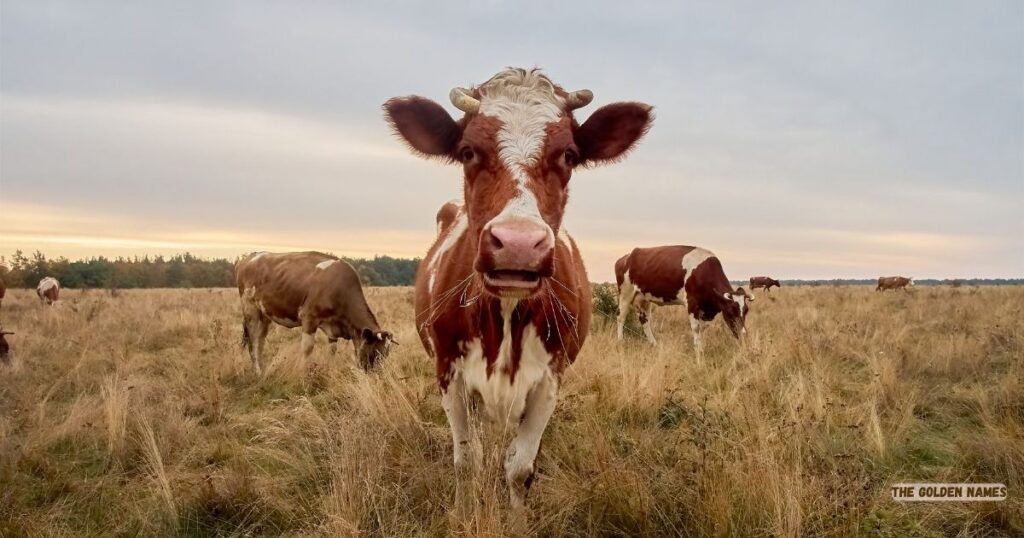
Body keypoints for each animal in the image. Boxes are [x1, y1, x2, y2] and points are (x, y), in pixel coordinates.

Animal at [234, 251, 394, 373]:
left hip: (265, 315)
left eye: (386, 354)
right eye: (374, 352)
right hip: (250, 310)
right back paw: (257, 372)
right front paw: (302, 373)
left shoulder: (332, 328)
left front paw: (330, 372)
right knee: (253, 341)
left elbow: (332, 350)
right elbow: (307, 348)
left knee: (260, 341)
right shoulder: (309, 317)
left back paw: (263, 370)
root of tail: (251, 257)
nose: (376, 376)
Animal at [384, 67, 653, 520]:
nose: (518, 244)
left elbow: (520, 467)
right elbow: (466, 460)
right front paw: (465, 513)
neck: (505, 317)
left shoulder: (549, 378)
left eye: (569, 155)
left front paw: (517, 519)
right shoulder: (449, 371)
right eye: (468, 151)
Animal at [615, 246, 753, 359]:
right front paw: (698, 355)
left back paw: (654, 344)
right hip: (625, 292)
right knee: (621, 317)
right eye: (730, 312)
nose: (743, 335)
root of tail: (627, 256)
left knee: (645, 321)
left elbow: (702, 329)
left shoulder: (703, 309)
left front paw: (701, 349)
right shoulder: (692, 304)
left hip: (643, 299)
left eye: (746, 311)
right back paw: (620, 342)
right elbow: (696, 329)